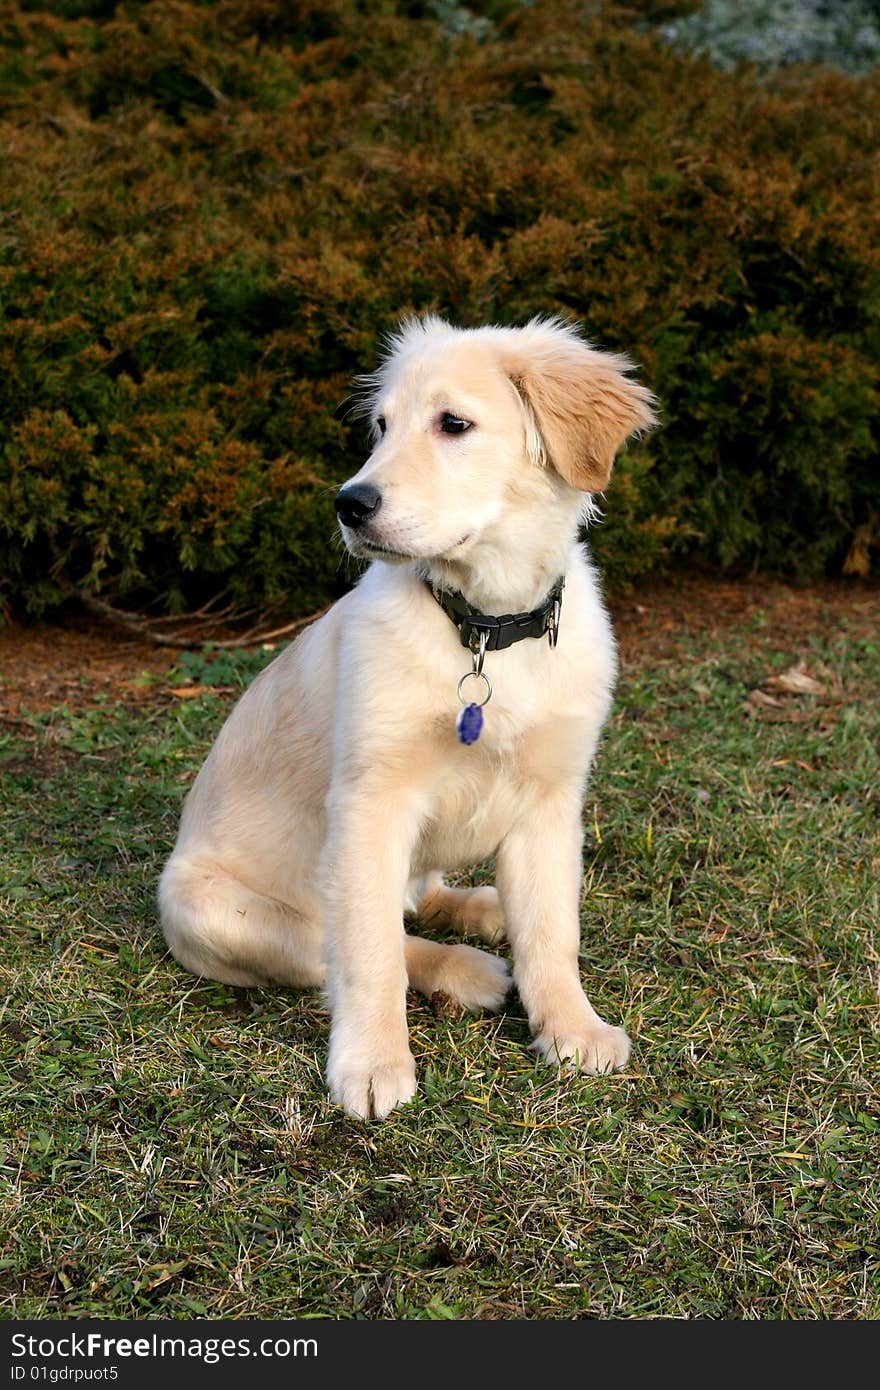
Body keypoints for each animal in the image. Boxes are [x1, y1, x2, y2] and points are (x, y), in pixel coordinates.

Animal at [157, 315, 656, 1117]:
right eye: (381, 427)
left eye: (453, 424)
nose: (348, 505)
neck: (485, 627)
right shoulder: (371, 804)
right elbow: (370, 954)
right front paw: (372, 1064)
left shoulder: (552, 801)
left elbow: (553, 931)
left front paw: (572, 1027)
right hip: (206, 911)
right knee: (342, 944)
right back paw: (468, 969)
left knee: (421, 899)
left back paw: (485, 908)